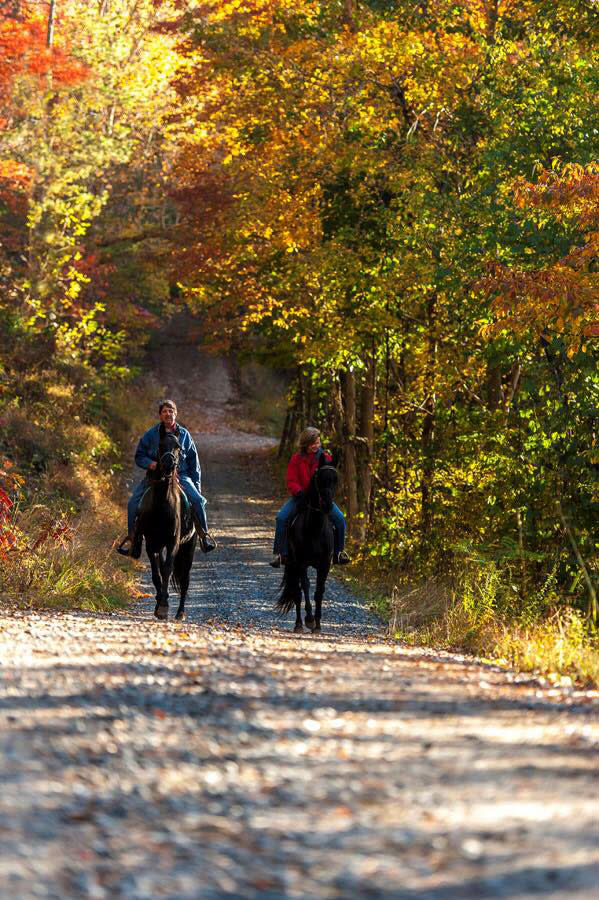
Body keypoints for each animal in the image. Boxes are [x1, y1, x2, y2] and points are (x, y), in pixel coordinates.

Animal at [138, 428, 197, 620]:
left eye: (178, 446)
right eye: (160, 444)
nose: (169, 464)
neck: (162, 505)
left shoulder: (172, 543)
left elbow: (167, 570)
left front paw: (164, 606)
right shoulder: (151, 544)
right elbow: (157, 573)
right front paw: (159, 605)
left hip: (188, 548)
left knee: (185, 579)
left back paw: (180, 612)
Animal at [276, 458, 338, 632]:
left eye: (336, 479)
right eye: (319, 478)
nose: (327, 505)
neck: (314, 528)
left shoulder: (324, 565)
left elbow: (319, 591)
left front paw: (317, 624)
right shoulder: (301, 563)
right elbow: (306, 586)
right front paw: (309, 619)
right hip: (293, 564)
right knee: (297, 593)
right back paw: (298, 624)